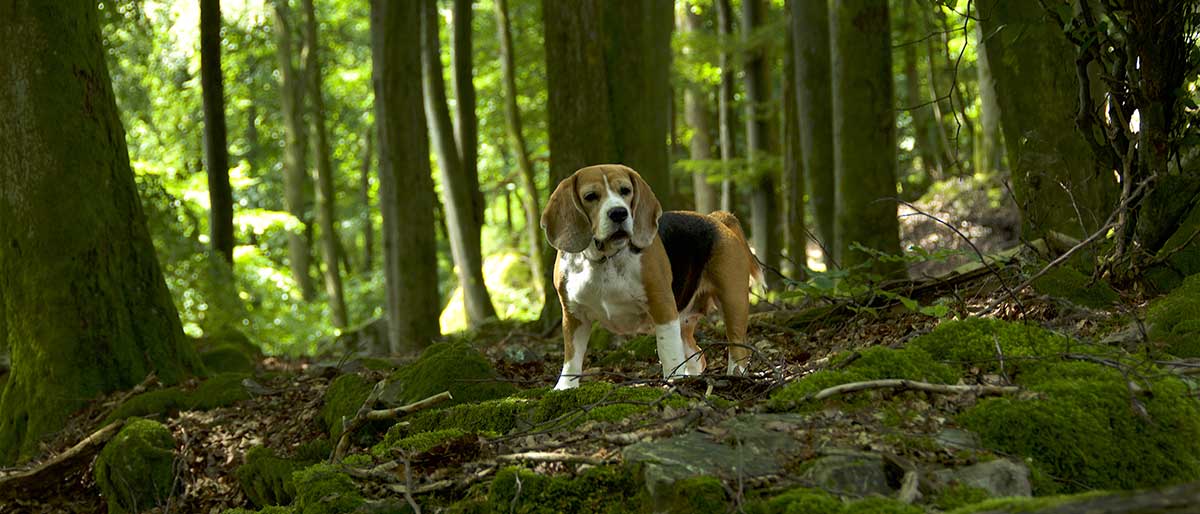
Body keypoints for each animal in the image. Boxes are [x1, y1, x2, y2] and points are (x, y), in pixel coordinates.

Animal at [542, 162, 758, 386]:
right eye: (590, 196)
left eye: (625, 190)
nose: (619, 213)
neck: (605, 258)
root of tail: (716, 219)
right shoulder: (574, 315)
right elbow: (572, 358)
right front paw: (565, 387)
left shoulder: (662, 305)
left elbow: (668, 350)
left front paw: (672, 381)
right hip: (685, 317)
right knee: (697, 354)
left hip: (733, 301)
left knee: (737, 346)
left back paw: (735, 374)